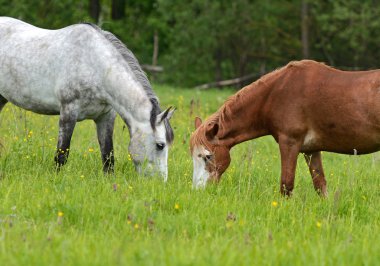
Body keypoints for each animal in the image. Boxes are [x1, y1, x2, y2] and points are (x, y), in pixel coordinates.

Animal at [0, 17, 175, 181]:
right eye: (160, 145)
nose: (161, 182)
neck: (95, 65)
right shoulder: (68, 112)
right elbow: (62, 155)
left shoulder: (106, 117)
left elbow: (108, 156)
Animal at [191, 60, 380, 197]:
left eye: (208, 156)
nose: (198, 190)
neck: (275, 95)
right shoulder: (311, 150)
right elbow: (320, 185)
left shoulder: (289, 143)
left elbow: (286, 184)